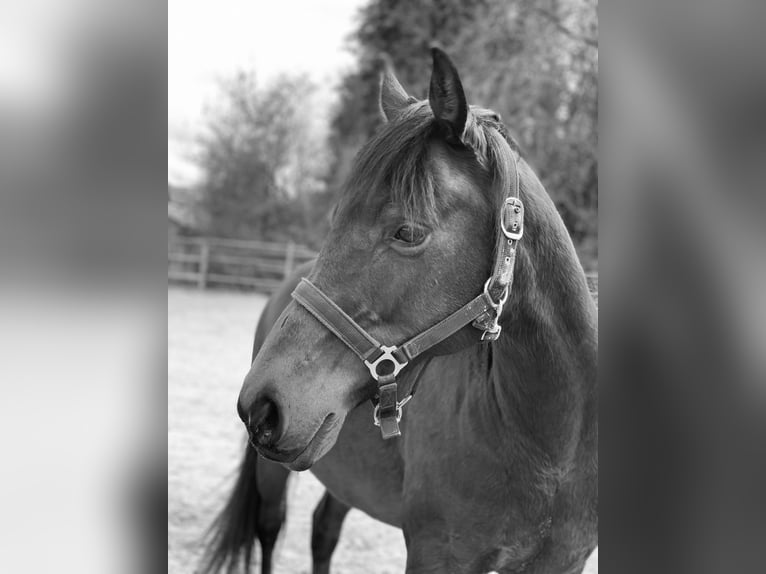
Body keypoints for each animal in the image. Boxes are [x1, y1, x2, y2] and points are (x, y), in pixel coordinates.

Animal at [201, 48, 598, 574]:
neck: (551, 444)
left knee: (324, 529)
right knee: (271, 529)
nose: (261, 404)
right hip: (273, 474)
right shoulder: (436, 553)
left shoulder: (562, 560)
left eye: (408, 232)